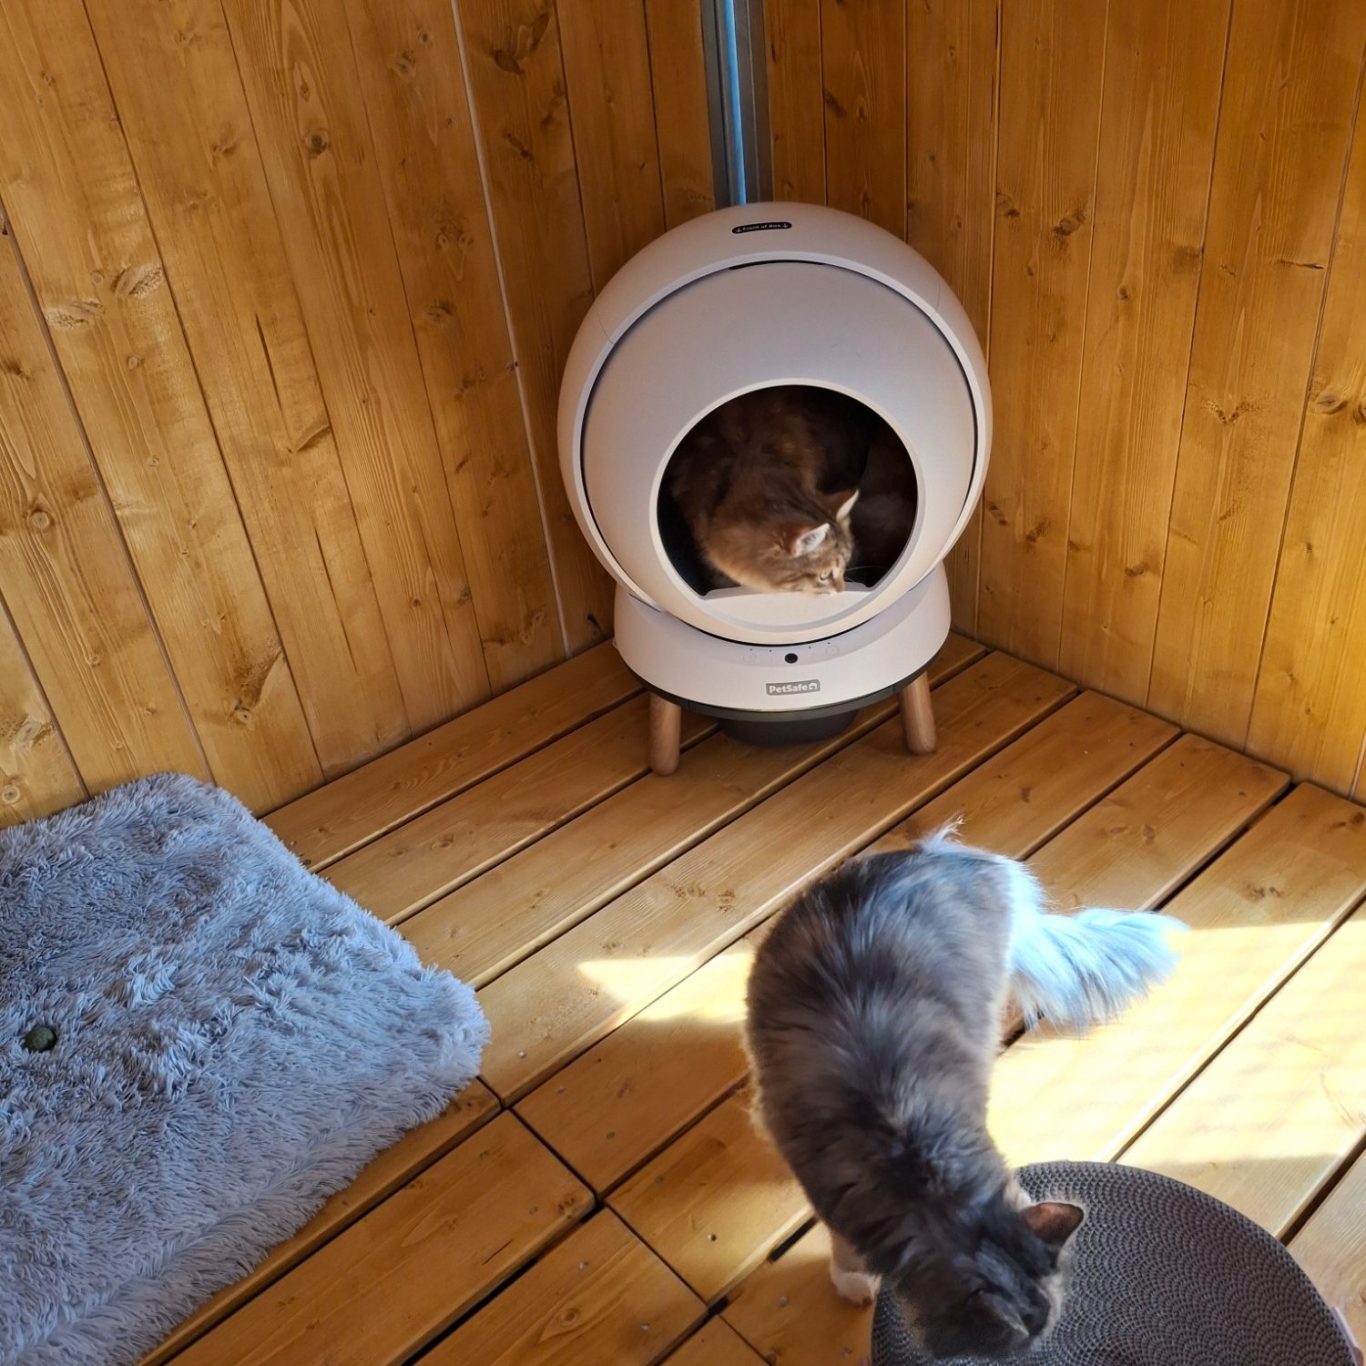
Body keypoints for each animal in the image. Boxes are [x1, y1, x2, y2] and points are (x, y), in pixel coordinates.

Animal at [744, 830, 1185, 1360]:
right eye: (1021, 1344)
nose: (1035, 1351)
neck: (919, 1173)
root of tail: (951, 856)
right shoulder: (828, 1186)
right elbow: (843, 1247)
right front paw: (852, 1281)